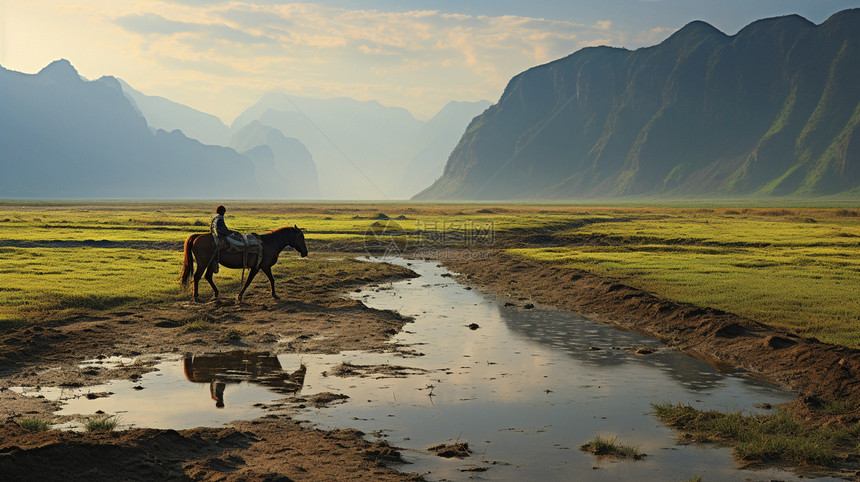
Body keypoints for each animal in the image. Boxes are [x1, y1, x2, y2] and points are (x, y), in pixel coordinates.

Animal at [178, 226, 306, 302]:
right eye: (301, 237)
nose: (305, 252)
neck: (270, 243)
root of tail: (197, 236)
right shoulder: (262, 267)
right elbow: (252, 281)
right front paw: (239, 296)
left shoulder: (260, 267)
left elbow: (268, 279)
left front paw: (274, 294)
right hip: (203, 263)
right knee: (197, 276)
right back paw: (196, 296)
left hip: (211, 262)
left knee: (208, 276)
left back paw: (216, 294)